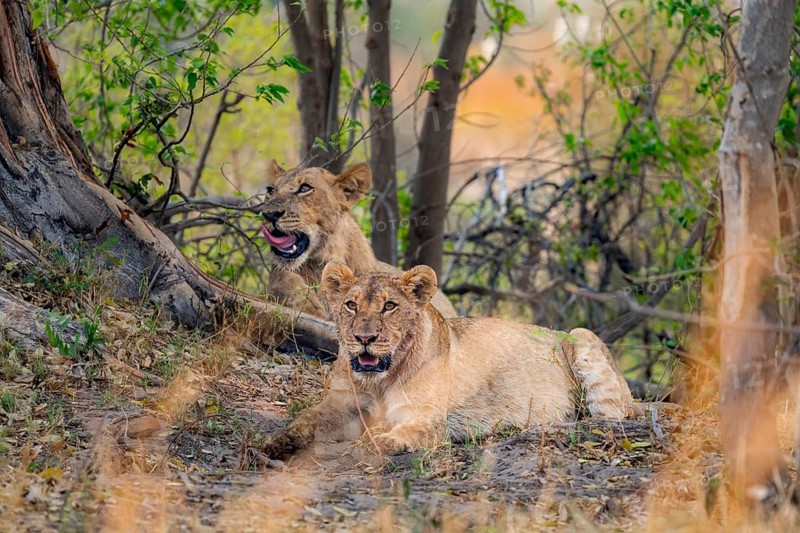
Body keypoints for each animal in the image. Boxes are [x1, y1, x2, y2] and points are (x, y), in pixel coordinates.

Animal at [262, 263, 638, 458]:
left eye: (389, 306)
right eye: (351, 305)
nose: (364, 338)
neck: (381, 381)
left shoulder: (428, 418)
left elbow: (403, 432)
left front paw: (381, 440)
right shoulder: (341, 405)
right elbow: (307, 418)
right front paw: (277, 442)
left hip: (580, 336)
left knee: (611, 418)